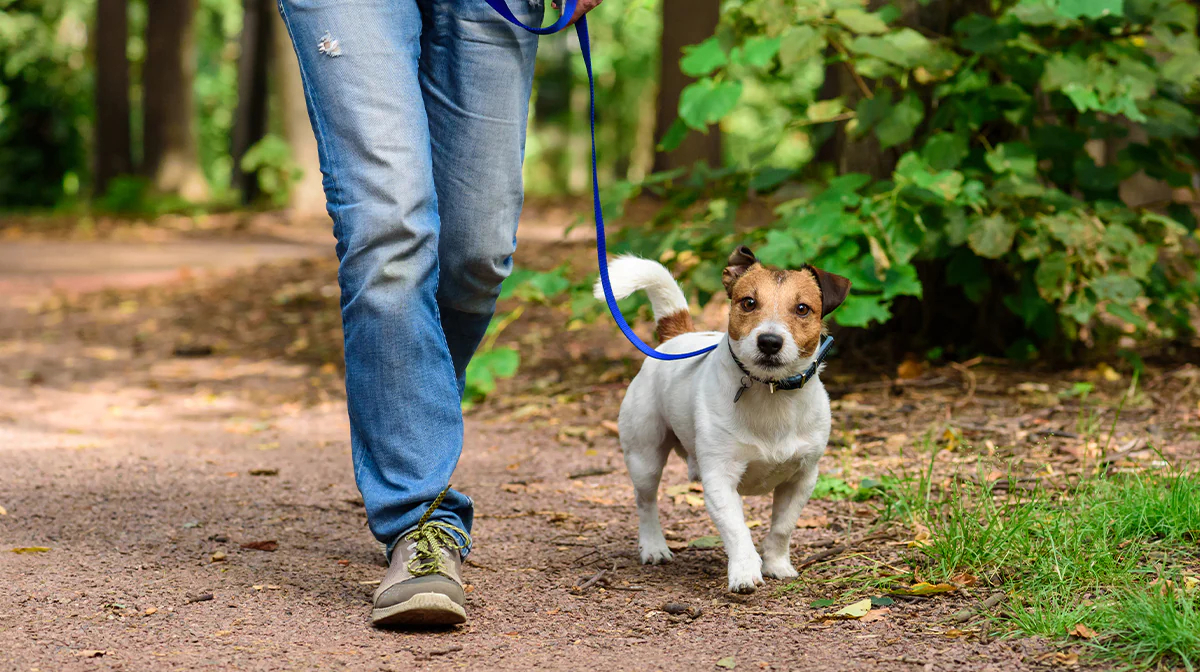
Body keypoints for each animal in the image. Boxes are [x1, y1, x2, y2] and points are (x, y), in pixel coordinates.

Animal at [595, 247, 849, 592]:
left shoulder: (802, 478)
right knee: (645, 503)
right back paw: (654, 546)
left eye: (802, 309)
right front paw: (744, 572)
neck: (770, 394)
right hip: (644, 457)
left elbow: (782, 528)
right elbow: (738, 531)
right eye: (748, 302)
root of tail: (679, 335)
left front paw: (777, 564)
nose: (769, 341)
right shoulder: (720, 478)